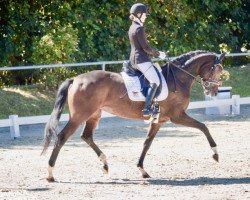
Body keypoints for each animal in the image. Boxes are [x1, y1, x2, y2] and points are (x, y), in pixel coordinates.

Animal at [42, 50, 226, 181]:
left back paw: (105, 165)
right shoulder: (177, 116)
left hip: (94, 114)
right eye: (218, 70)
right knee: (62, 137)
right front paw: (215, 153)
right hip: (79, 116)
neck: (178, 78)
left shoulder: (159, 121)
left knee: (86, 136)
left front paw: (142, 169)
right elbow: (203, 126)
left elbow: (147, 143)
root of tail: (75, 79)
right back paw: (50, 173)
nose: (214, 91)